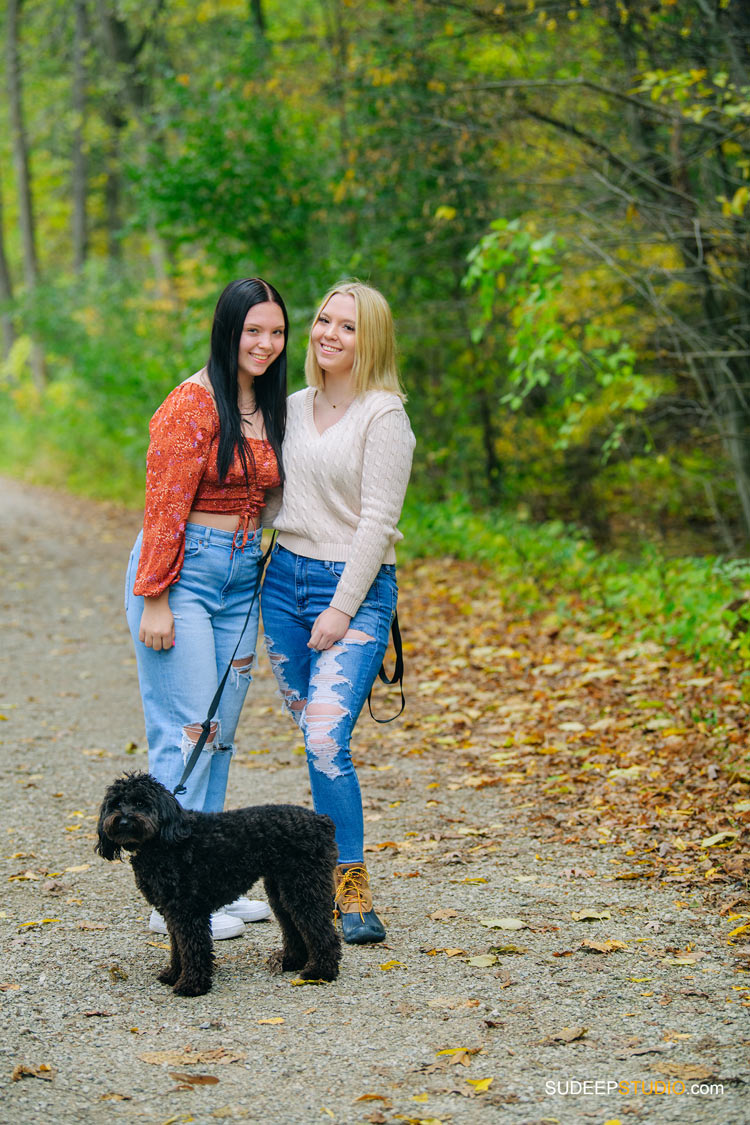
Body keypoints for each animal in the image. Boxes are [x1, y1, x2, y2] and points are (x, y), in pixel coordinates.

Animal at [95, 774, 341, 994]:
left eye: (141, 803)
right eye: (116, 803)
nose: (123, 820)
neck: (164, 841)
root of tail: (322, 821)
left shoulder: (188, 912)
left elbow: (192, 948)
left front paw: (191, 985)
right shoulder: (173, 912)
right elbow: (177, 946)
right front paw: (173, 974)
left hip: (304, 887)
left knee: (322, 931)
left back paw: (320, 972)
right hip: (282, 892)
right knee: (293, 926)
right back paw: (292, 961)